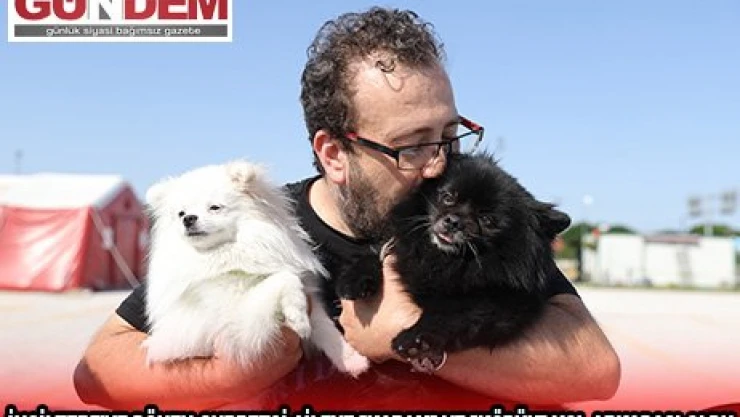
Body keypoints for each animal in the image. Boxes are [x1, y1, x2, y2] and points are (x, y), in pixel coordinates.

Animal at [142, 159, 369, 378]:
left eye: (214, 207)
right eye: (180, 213)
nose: (188, 219)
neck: (228, 254)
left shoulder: (313, 304)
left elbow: (326, 330)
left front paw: (350, 359)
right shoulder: (239, 322)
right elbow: (284, 278)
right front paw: (298, 318)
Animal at [335, 152, 571, 367]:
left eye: (487, 220)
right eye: (448, 197)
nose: (453, 221)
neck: (446, 259)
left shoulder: (504, 302)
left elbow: (453, 312)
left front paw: (416, 339)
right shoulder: (401, 250)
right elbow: (376, 254)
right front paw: (354, 279)